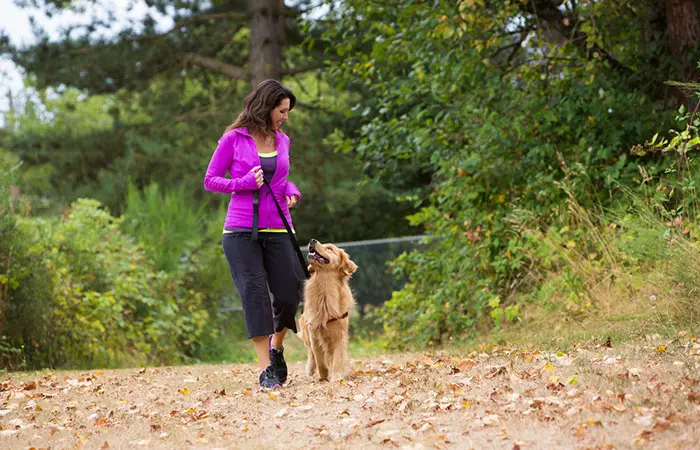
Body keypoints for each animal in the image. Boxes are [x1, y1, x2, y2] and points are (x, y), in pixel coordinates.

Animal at [298, 237, 358, 382]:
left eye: (330, 248)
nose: (312, 240)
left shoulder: (339, 335)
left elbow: (337, 358)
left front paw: (336, 377)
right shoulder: (314, 332)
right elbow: (319, 358)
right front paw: (324, 374)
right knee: (311, 353)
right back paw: (310, 370)